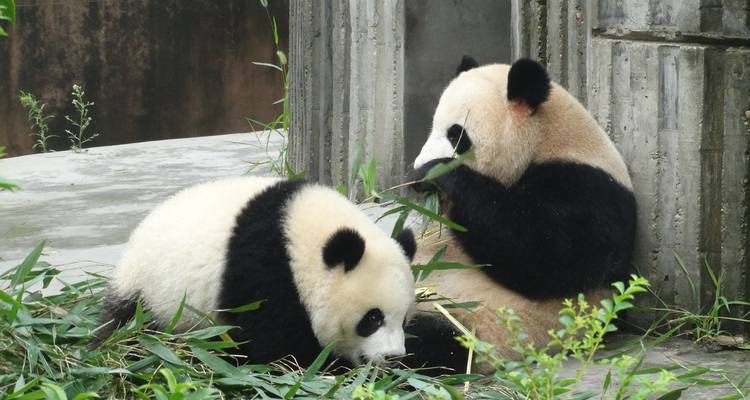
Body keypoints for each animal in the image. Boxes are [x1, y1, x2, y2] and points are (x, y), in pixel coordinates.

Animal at [97, 177, 418, 367]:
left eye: (404, 319)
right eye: (373, 318)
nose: (393, 357)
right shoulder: (263, 272)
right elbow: (277, 348)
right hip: (152, 295)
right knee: (128, 329)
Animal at [405, 57, 637, 372]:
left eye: (456, 135)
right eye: (432, 128)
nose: (417, 172)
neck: (550, 140)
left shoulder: (593, 191)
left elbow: (543, 256)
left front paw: (438, 173)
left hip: (471, 322)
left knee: (422, 340)